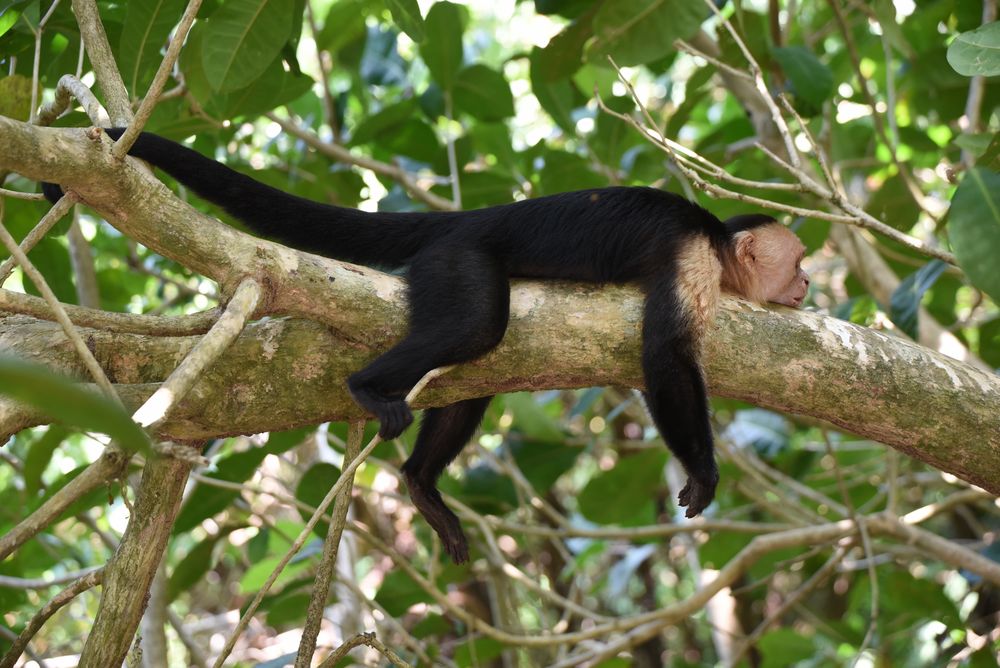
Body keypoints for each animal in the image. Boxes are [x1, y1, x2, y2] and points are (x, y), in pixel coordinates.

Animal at [47, 129, 808, 564]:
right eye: (799, 261)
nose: (806, 284)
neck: (716, 243)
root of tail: (465, 219)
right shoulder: (690, 257)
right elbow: (664, 357)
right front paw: (704, 473)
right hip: (457, 261)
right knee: (478, 327)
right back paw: (367, 389)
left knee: (480, 367)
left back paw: (421, 482)